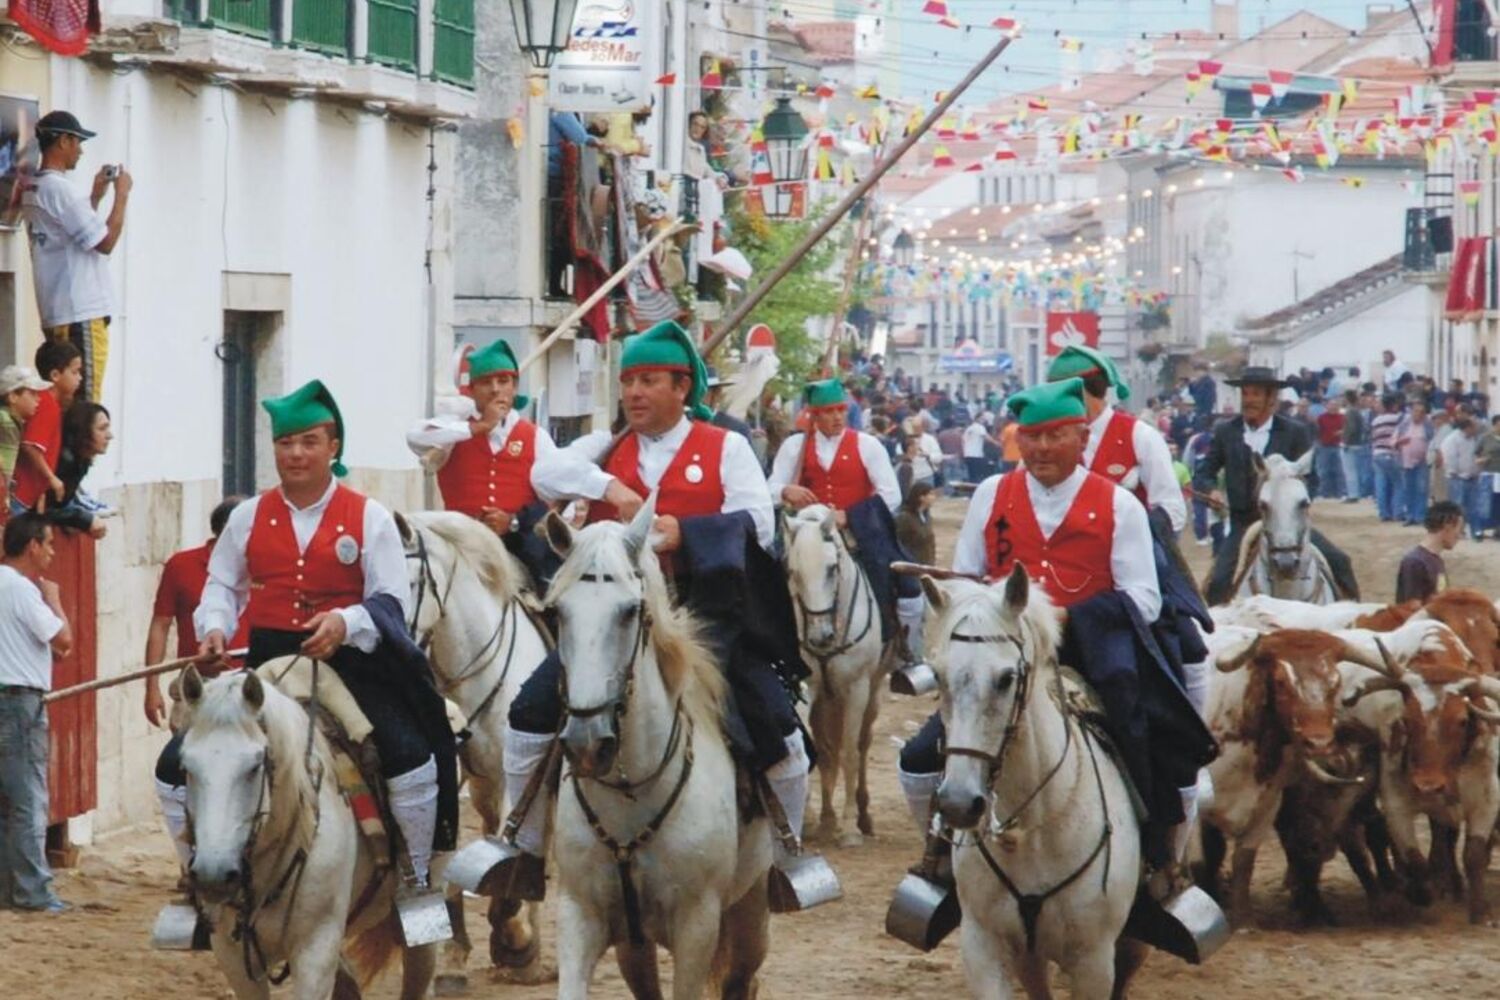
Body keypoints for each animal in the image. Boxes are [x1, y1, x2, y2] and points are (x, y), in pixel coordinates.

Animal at [542, 498, 773, 999]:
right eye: (557, 613)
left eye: (630, 611)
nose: (587, 744)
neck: (630, 794)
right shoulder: (580, 912)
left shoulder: (697, 926)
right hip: (635, 943)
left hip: (751, 907)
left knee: (740, 979)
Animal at [783, 504, 886, 846]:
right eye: (793, 572)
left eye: (831, 569)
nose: (820, 637)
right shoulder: (804, 687)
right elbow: (812, 749)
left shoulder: (857, 688)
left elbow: (850, 753)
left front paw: (850, 828)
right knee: (828, 751)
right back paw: (826, 819)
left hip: (873, 693)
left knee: (863, 744)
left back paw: (863, 817)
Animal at [925, 566, 1143, 1000]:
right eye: (938, 676)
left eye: (1006, 678)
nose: (958, 803)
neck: (1031, 832)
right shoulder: (984, 946)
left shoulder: (1094, 961)